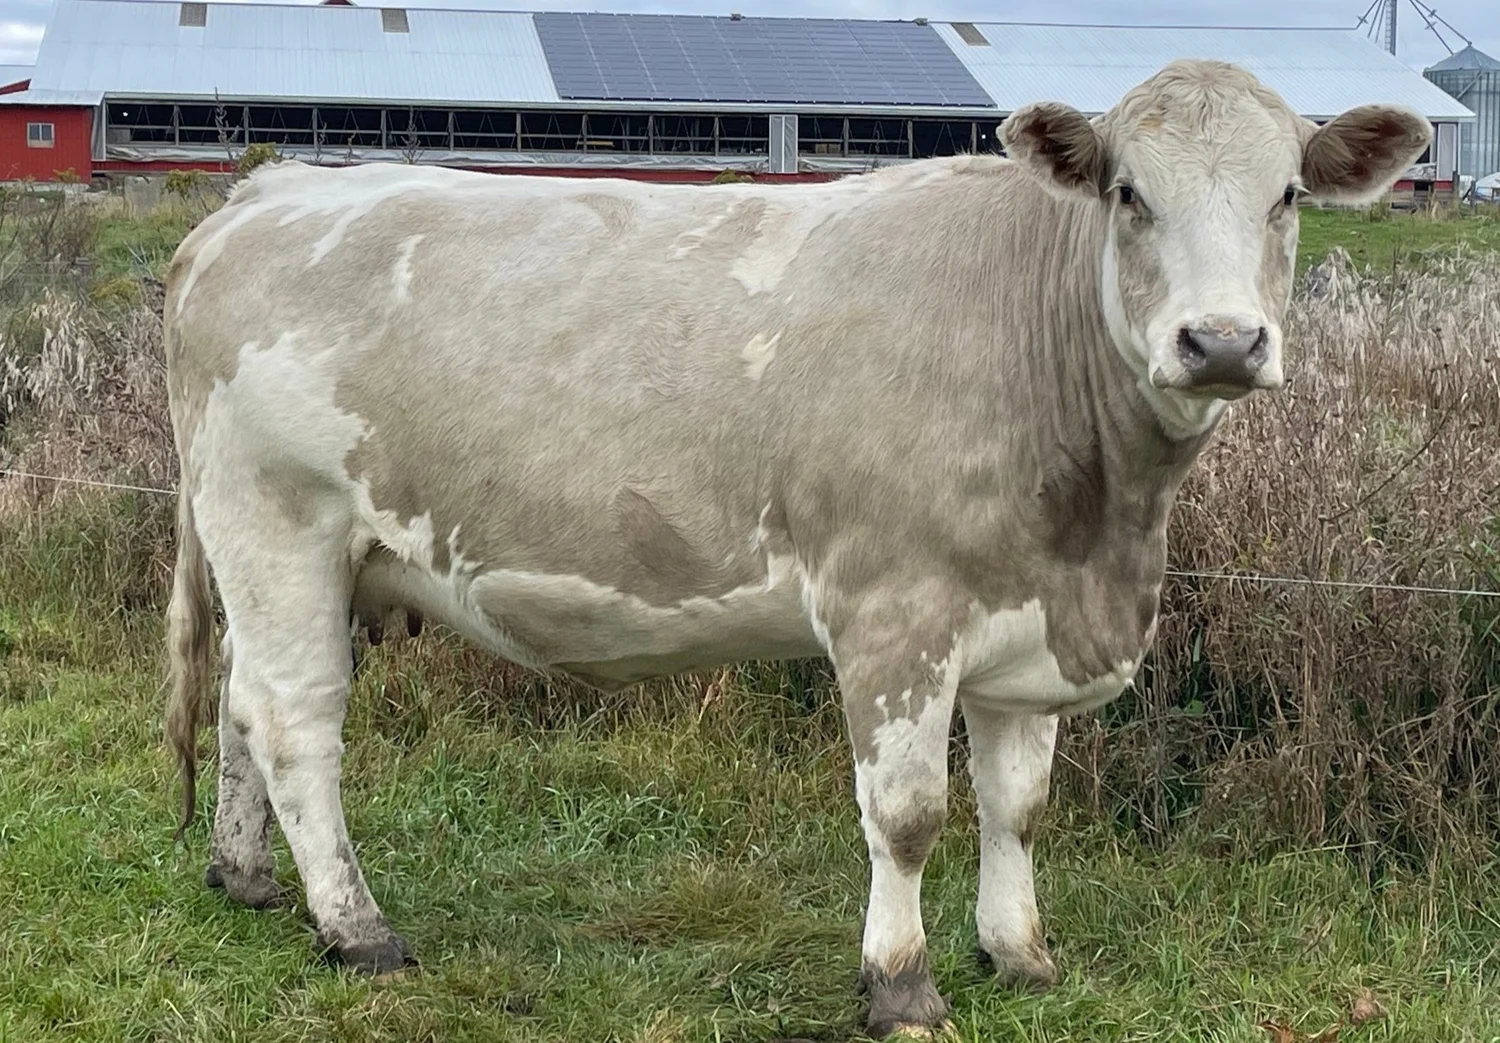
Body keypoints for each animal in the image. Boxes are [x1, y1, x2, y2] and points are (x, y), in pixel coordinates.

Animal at [161, 59, 1429, 1038]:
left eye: (1286, 194)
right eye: (1129, 192)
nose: (1221, 340)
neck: (1100, 527)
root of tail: (268, 190)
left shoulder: (1032, 627)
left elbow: (1017, 803)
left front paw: (1018, 951)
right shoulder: (894, 611)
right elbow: (909, 811)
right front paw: (901, 984)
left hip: (289, 554)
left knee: (238, 701)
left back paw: (245, 876)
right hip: (279, 518)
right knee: (295, 718)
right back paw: (357, 926)